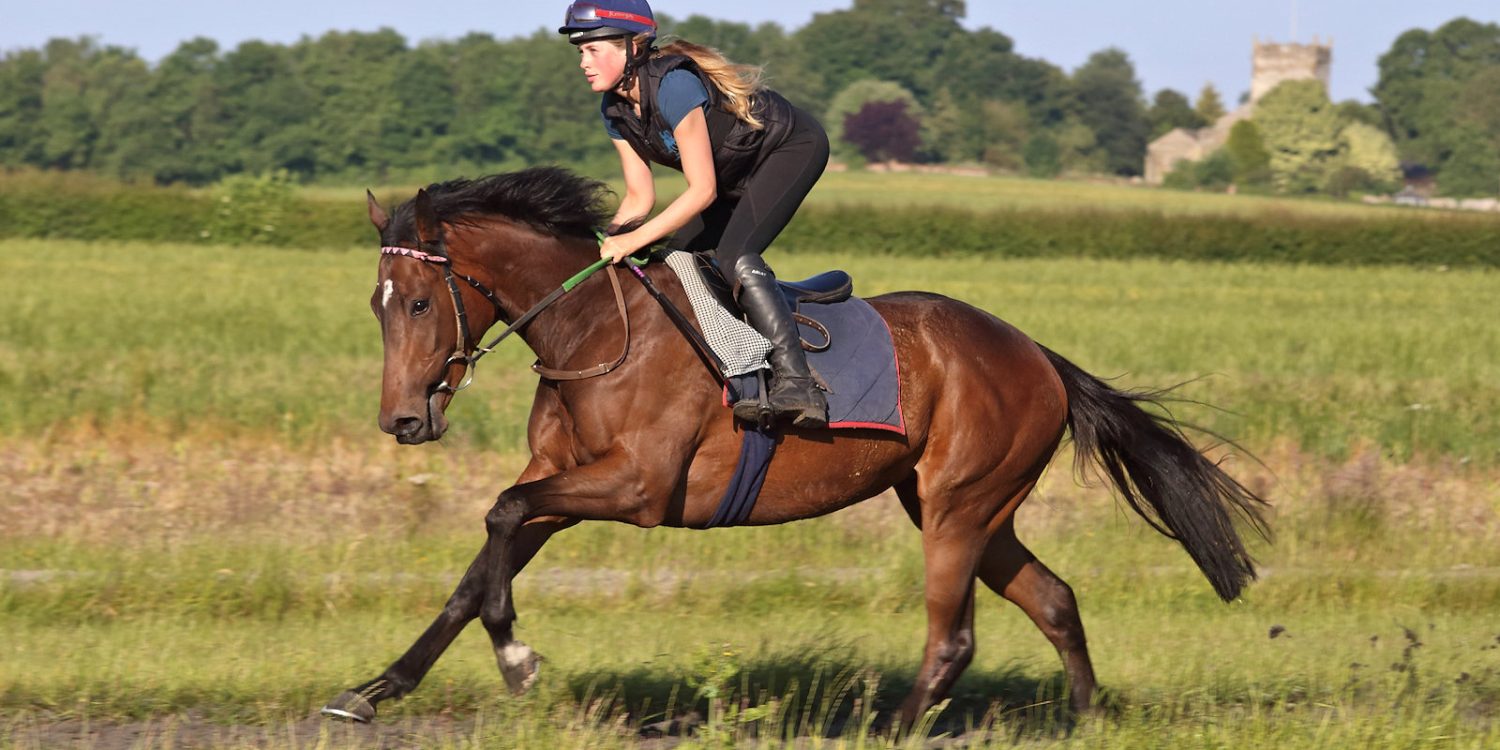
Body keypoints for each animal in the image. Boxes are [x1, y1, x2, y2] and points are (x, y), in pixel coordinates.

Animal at [322, 168, 1272, 726]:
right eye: (375, 304)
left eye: (417, 302)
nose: (402, 421)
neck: (589, 329)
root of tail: (1039, 354)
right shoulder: (566, 479)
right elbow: (482, 564)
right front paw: (377, 689)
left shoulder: (636, 487)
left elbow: (501, 514)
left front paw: (517, 662)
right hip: (969, 506)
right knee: (1055, 599)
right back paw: (1085, 718)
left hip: (960, 505)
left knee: (953, 639)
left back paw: (893, 732)